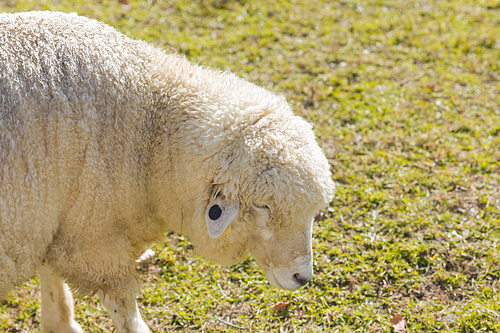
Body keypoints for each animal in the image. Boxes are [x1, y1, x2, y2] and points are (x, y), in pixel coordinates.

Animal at [0, 11, 336, 332]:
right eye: (262, 206)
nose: (302, 277)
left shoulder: (52, 216)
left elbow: (51, 275)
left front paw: (59, 323)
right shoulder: (93, 236)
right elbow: (123, 307)